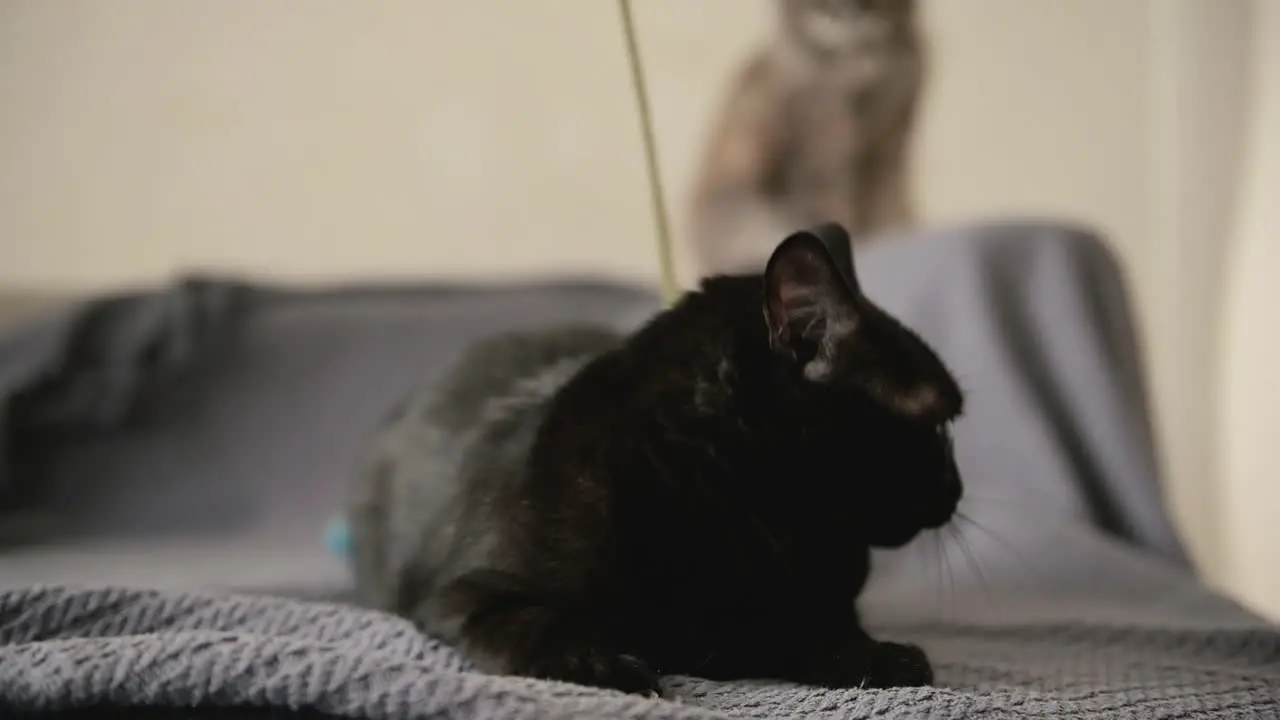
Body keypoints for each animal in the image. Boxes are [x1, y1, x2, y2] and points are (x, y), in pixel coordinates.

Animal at [345, 224, 962, 696]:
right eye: (938, 424)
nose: (957, 487)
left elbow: (808, 626)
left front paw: (873, 656)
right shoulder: (467, 591)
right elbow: (536, 623)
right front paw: (600, 665)